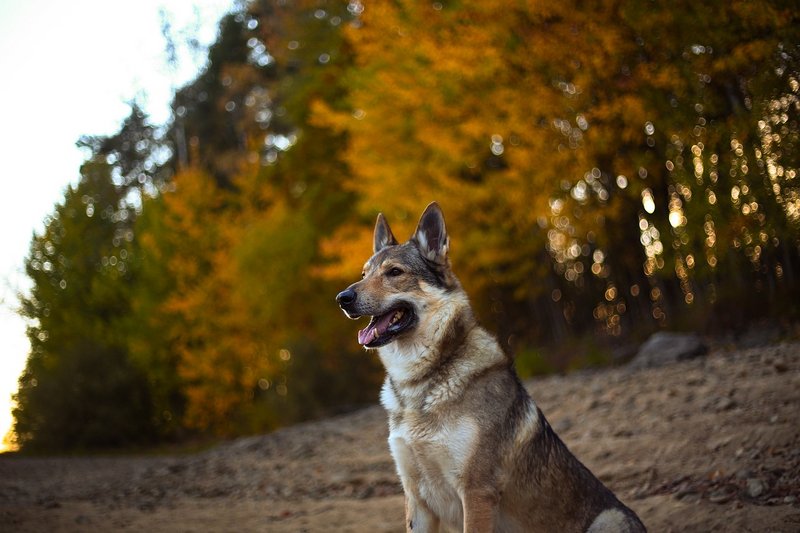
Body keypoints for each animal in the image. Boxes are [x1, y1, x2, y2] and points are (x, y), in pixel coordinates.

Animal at [334, 202, 648, 528]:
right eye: (363, 274)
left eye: (394, 272)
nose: (343, 298)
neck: (419, 382)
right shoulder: (416, 499)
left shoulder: (476, 492)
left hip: (610, 519)